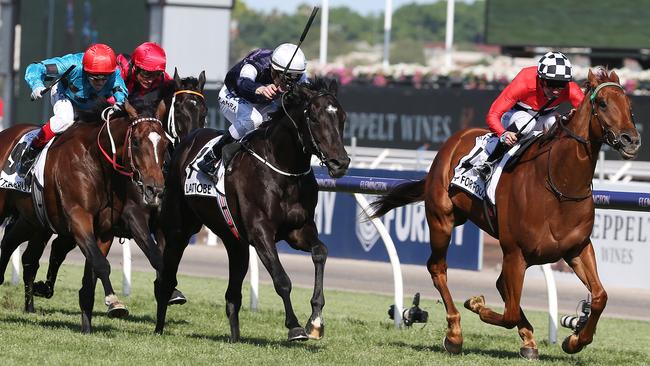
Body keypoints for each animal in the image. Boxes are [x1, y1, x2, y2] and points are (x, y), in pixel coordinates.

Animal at [0, 101, 170, 332]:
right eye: (135, 141)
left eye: (165, 143)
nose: (155, 190)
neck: (95, 162)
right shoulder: (79, 219)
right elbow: (101, 264)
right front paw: (114, 302)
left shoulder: (106, 229)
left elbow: (93, 272)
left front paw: (87, 325)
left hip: (32, 220)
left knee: (13, 245)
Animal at [153, 78, 350, 344]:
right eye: (316, 118)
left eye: (342, 117)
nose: (341, 163)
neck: (283, 169)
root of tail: (185, 143)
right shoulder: (260, 232)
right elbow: (282, 280)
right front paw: (295, 327)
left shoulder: (299, 230)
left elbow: (320, 252)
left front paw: (315, 320)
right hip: (179, 229)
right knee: (167, 278)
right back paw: (159, 327)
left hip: (234, 240)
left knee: (232, 296)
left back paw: (235, 338)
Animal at [368, 67, 640, 358]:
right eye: (602, 103)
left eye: (629, 105)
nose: (631, 140)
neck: (559, 185)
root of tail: (454, 141)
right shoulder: (514, 252)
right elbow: (508, 314)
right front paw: (476, 304)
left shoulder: (577, 248)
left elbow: (600, 297)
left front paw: (575, 340)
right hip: (441, 220)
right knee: (438, 268)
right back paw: (455, 334)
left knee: (500, 285)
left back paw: (527, 340)